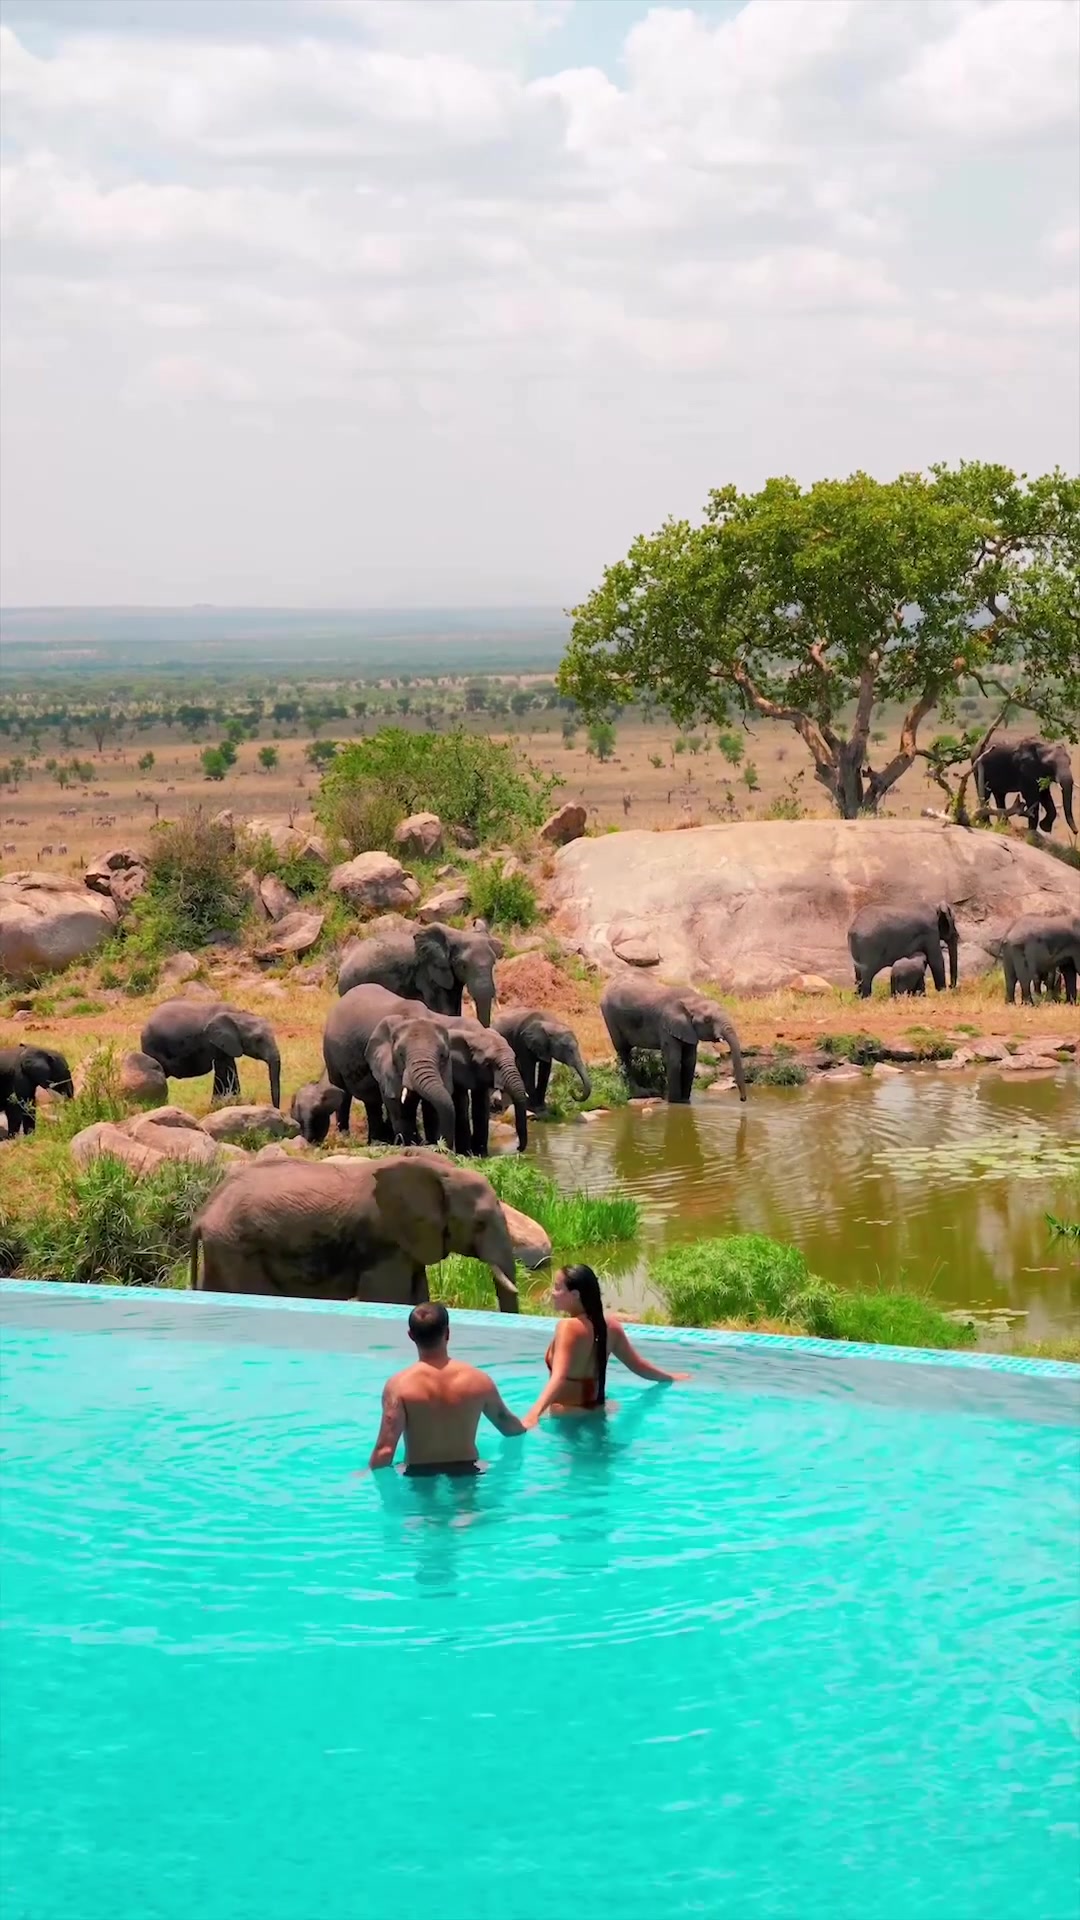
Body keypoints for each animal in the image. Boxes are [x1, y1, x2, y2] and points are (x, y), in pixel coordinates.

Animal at [140, 1000, 282, 1107]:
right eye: (258, 1040)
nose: (276, 1108)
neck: (237, 1014)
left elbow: (230, 1068)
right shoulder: (215, 1043)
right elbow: (224, 1069)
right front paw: (219, 1105)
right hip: (153, 1047)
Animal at [189, 1150, 520, 1310]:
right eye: (479, 1223)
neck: (441, 1171)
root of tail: (202, 1215)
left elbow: (417, 1295)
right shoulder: (384, 1242)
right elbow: (390, 1298)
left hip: (222, 1250)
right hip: (238, 1250)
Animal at [323, 984, 457, 1148]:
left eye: (443, 1056)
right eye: (401, 1055)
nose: (442, 1143)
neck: (413, 1017)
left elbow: (433, 1106)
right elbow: (399, 1105)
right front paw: (410, 1144)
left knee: (372, 1102)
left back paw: (375, 1142)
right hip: (330, 1052)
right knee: (343, 1093)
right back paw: (346, 1138)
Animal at [599, 977, 748, 1104]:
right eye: (707, 1020)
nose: (742, 1099)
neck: (693, 1000)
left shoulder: (689, 1030)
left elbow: (689, 1061)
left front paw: (685, 1101)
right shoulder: (667, 1025)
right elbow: (674, 1060)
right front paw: (676, 1102)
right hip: (610, 1015)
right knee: (623, 1051)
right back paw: (638, 1093)